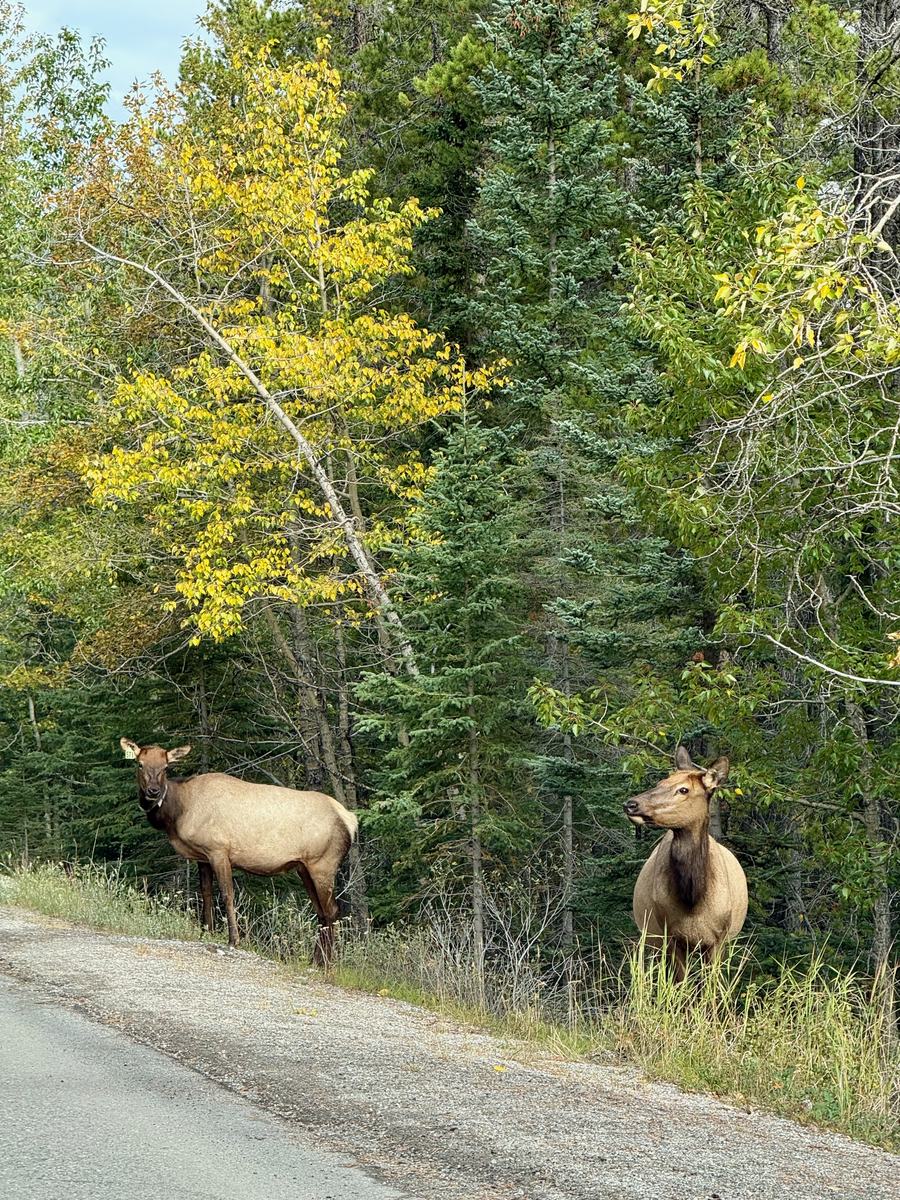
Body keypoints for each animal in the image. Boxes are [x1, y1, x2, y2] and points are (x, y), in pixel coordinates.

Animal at [120, 738, 358, 965]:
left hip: (323, 863)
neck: (178, 812)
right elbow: (206, 893)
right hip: (304, 867)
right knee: (321, 911)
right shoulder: (202, 856)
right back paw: (315, 960)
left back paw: (326, 963)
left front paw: (233, 939)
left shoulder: (219, 850)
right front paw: (206, 931)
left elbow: (227, 895)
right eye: (140, 764)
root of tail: (350, 820)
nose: (153, 791)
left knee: (332, 911)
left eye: (166, 766)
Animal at [623, 746, 748, 979]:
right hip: (652, 939)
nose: (631, 804)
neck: (693, 899)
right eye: (660, 782)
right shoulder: (670, 935)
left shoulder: (718, 938)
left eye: (683, 790)